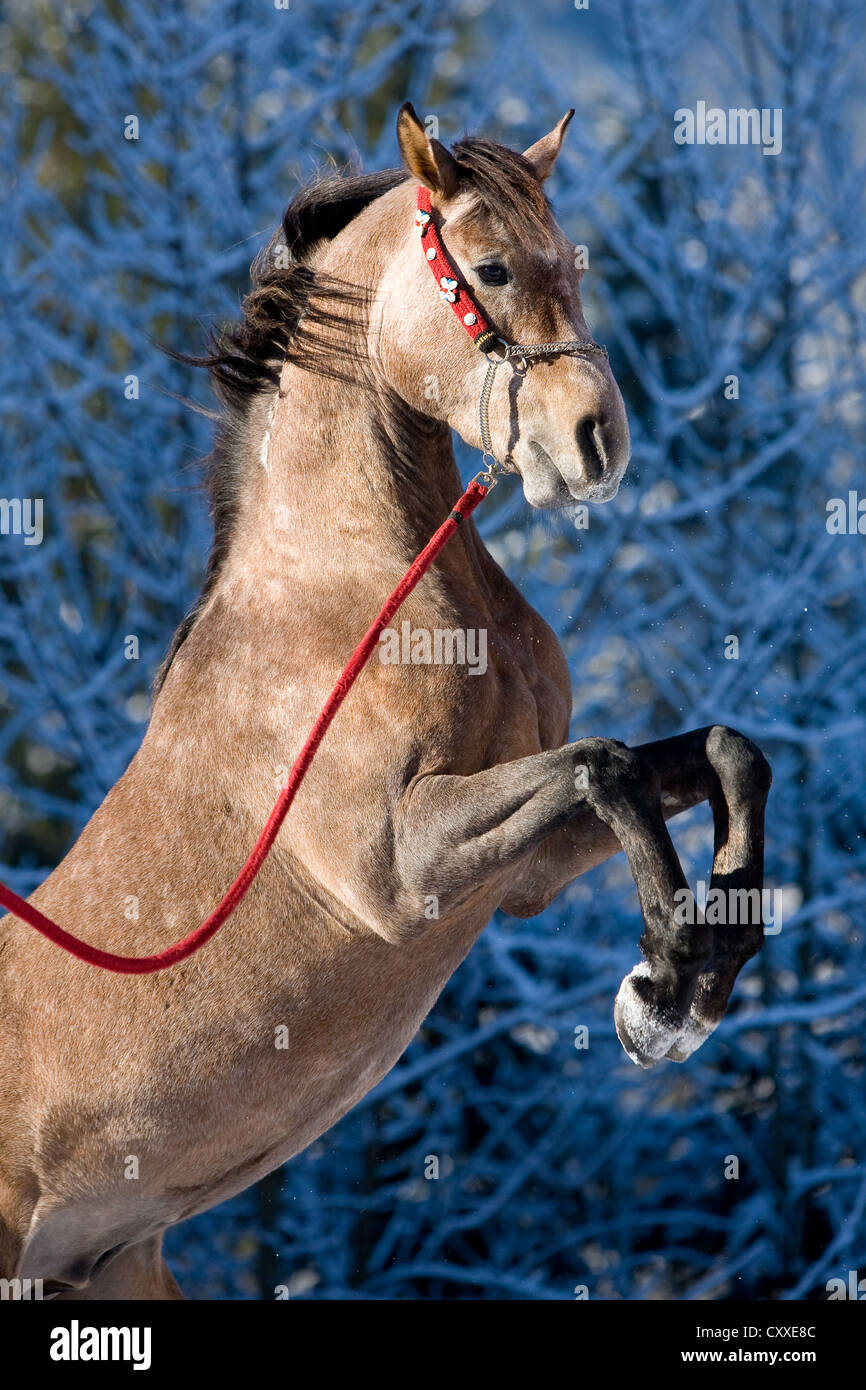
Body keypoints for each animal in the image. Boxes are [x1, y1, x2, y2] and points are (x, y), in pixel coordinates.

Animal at [0, 102, 772, 1295]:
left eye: (572, 261)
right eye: (491, 268)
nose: (597, 442)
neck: (351, 589)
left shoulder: (523, 874)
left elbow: (717, 753)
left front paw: (701, 971)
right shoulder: (398, 870)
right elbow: (604, 765)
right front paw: (664, 990)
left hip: (111, 1265)